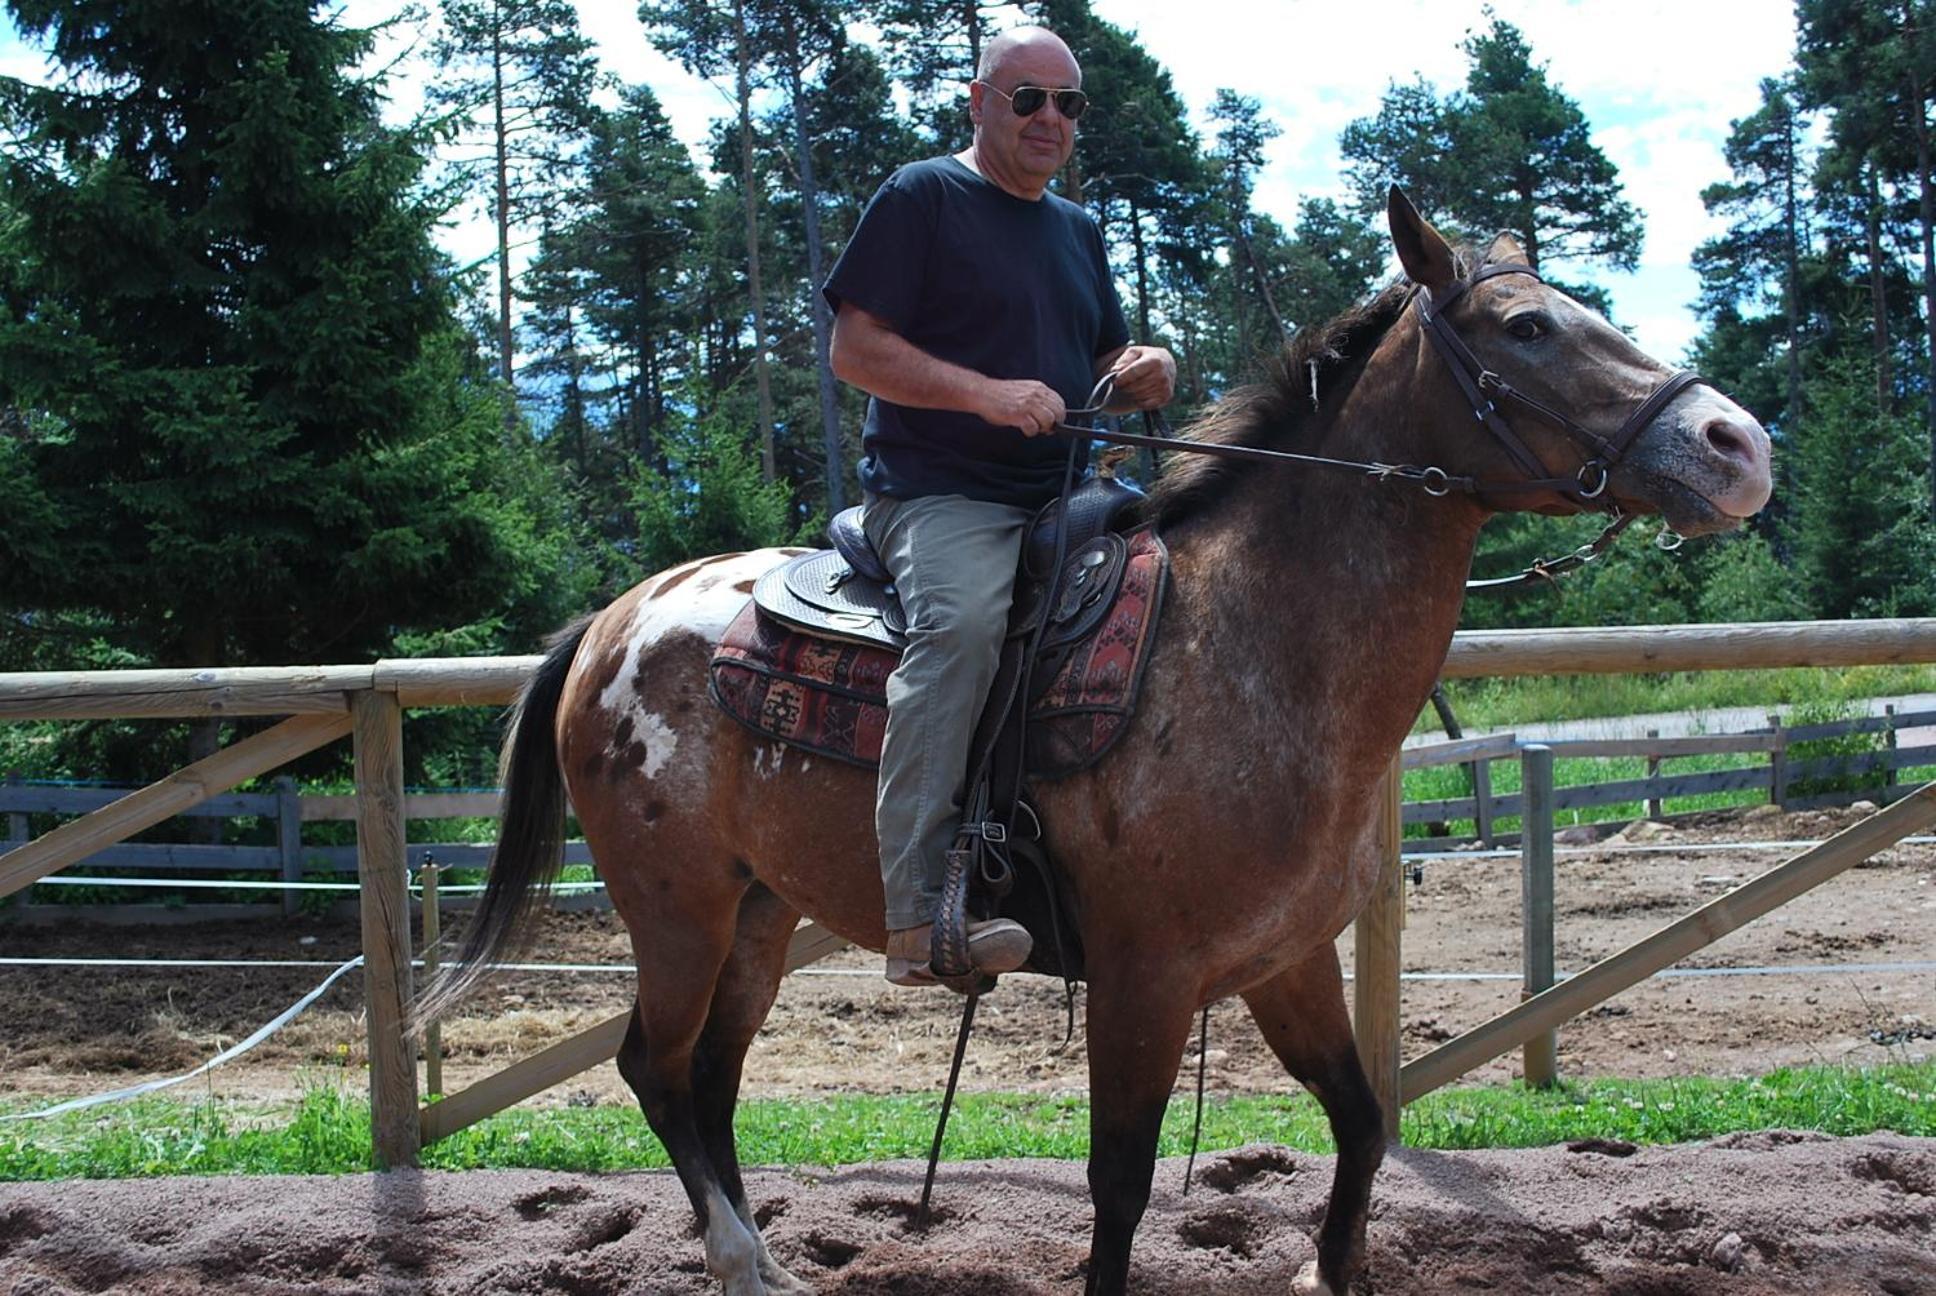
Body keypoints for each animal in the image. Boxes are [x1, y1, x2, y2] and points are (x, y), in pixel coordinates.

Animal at [420, 191, 1773, 1294]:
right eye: (1528, 328)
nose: (1736, 445)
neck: (1254, 646)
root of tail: (613, 620)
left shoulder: (1285, 962)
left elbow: (1359, 1123)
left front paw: (1329, 1267)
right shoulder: (1144, 980)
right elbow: (1118, 1189)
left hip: (761, 909)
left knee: (708, 1078)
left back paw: (762, 1261)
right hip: (678, 908)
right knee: (652, 1067)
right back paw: (743, 1263)